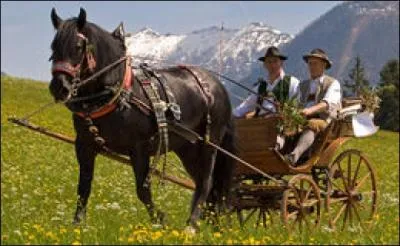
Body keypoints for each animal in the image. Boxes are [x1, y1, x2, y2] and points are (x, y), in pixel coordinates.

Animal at [49, 7, 238, 231]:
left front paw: (159, 220)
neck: (118, 94)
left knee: (208, 183)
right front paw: (77, 225)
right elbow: (83, 187)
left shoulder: (139, 149)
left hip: (210, 144)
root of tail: (218, 87)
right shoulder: (84, 146)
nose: (59, 87)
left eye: (78, 47)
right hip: (188, 149)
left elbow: (142, 190)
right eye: (53, 46)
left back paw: (192, 225)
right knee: (205, 184)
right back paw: (213, 226)